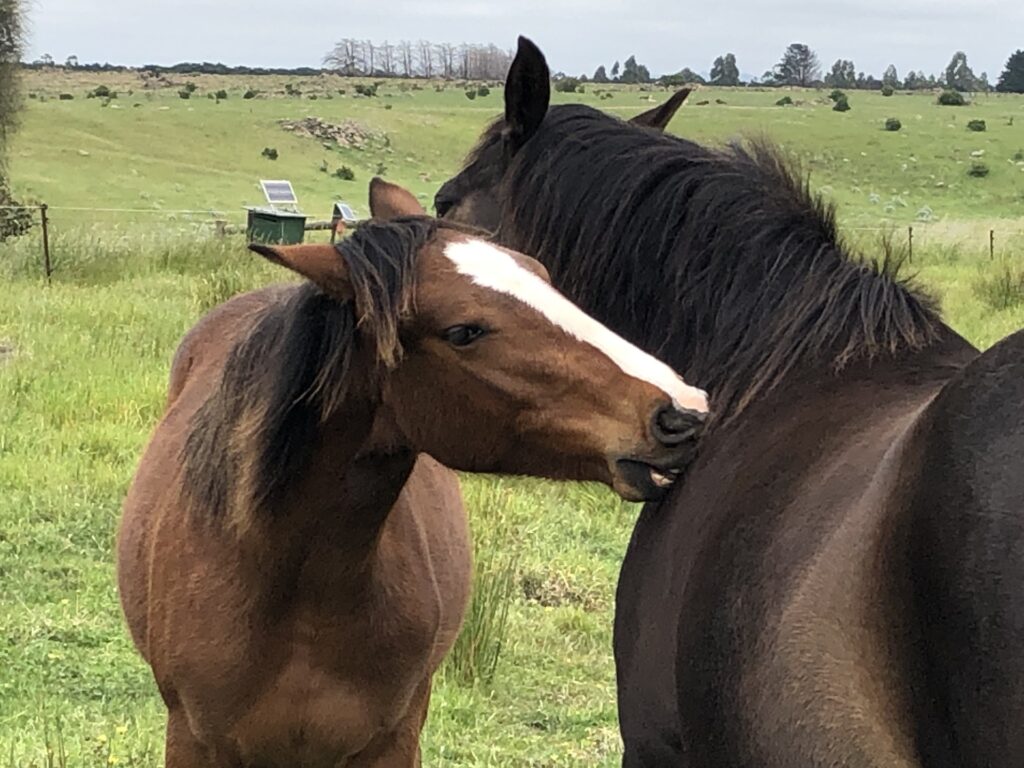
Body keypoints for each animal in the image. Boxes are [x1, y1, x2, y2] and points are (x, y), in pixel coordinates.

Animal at [116, 179, 708, 768]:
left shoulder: (394, 740)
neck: (296, 589)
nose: (683, 411)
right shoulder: (194, 741)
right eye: (464, 331)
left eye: (539, 272)